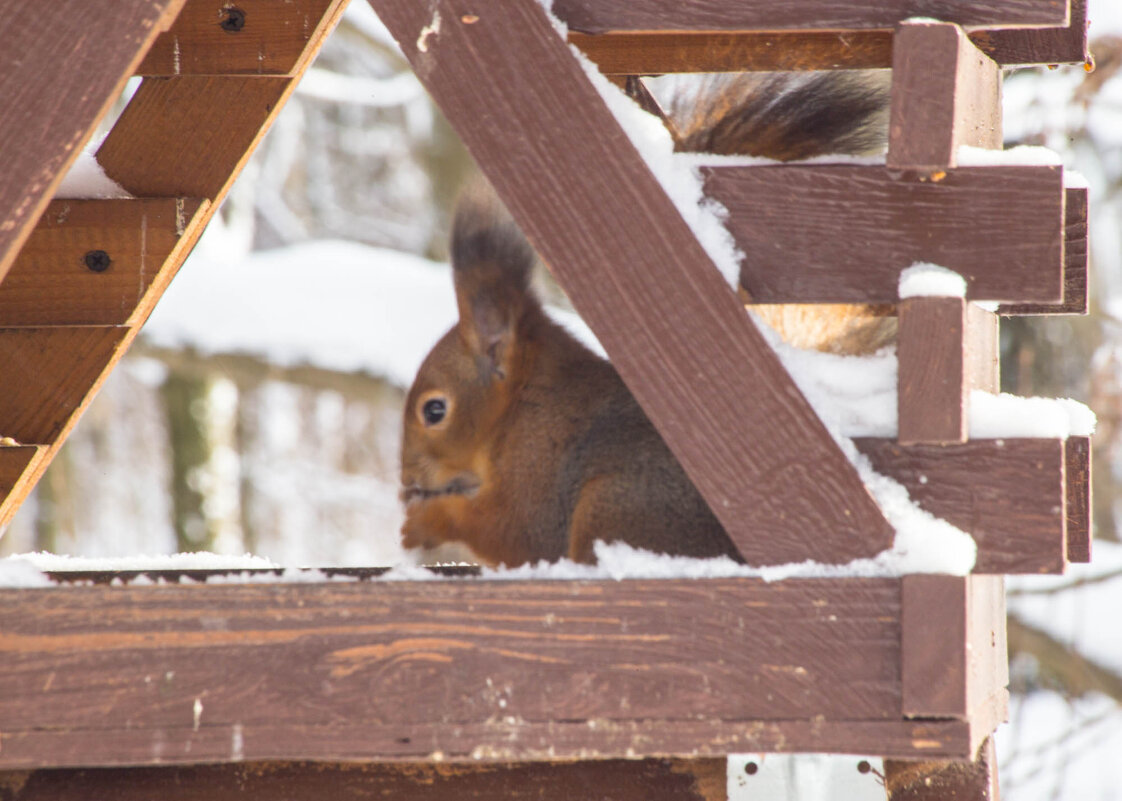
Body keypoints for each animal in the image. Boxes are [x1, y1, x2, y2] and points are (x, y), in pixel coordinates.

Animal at [399, 70, 888, 567]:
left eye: (434, 410)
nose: (405, 481)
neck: (519, 410)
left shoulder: (537, 471)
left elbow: (517, 534)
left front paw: (424, 523)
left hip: (612, 506)